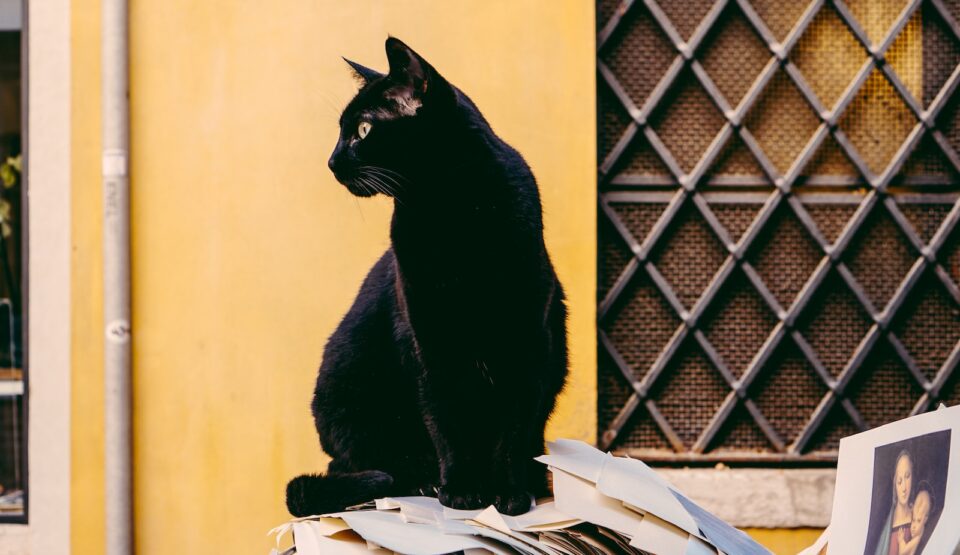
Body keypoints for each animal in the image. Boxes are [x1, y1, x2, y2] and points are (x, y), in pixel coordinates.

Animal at [288, 38, 568, 516]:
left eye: (363, 130)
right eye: (341, 130)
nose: (331, 161)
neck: (450, 209)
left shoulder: (528, 337)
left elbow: (513, 427)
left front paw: (508, 493)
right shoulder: (428, 336)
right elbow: (446, 417)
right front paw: (460, 491)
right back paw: (421, 480)